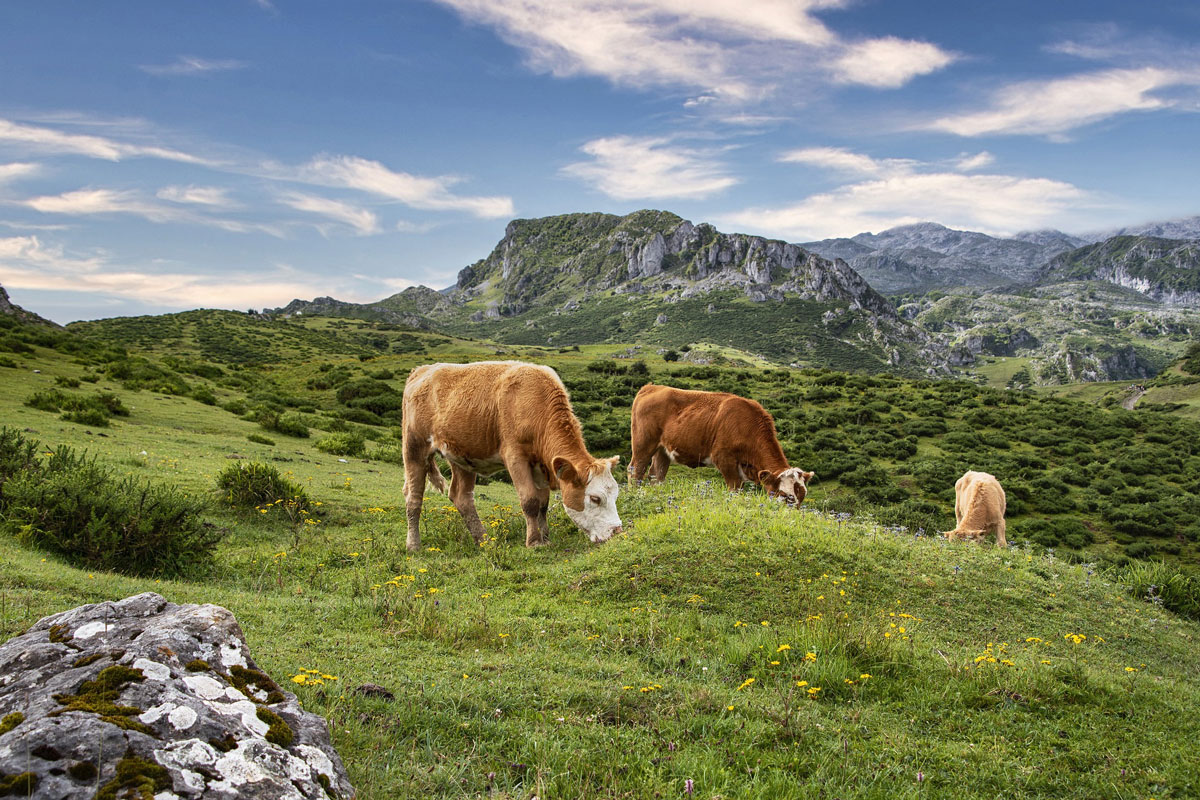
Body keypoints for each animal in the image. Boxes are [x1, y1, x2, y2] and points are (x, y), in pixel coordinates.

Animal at [401, 361, 622, 551]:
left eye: (615, 494)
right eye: (595, 498)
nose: (617, 531)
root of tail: (422, 370)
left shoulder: (540, 465)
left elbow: (543, 503)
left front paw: (546, 538)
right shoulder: (515, 456)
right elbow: (530, 500)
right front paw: (534, 542)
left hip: (462, 456)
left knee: (461, 497)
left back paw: (484, 541)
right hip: (414, 447)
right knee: (414, 497)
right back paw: (413, 545)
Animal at [629, 383, 814, 505]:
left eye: (802, 497)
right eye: (785, 495)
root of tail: (651, 387)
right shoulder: (725, 459)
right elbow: (734, 489)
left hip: (663, 450)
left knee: (656, 475)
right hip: (643, 443)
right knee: (636, 470)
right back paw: (634, 494)